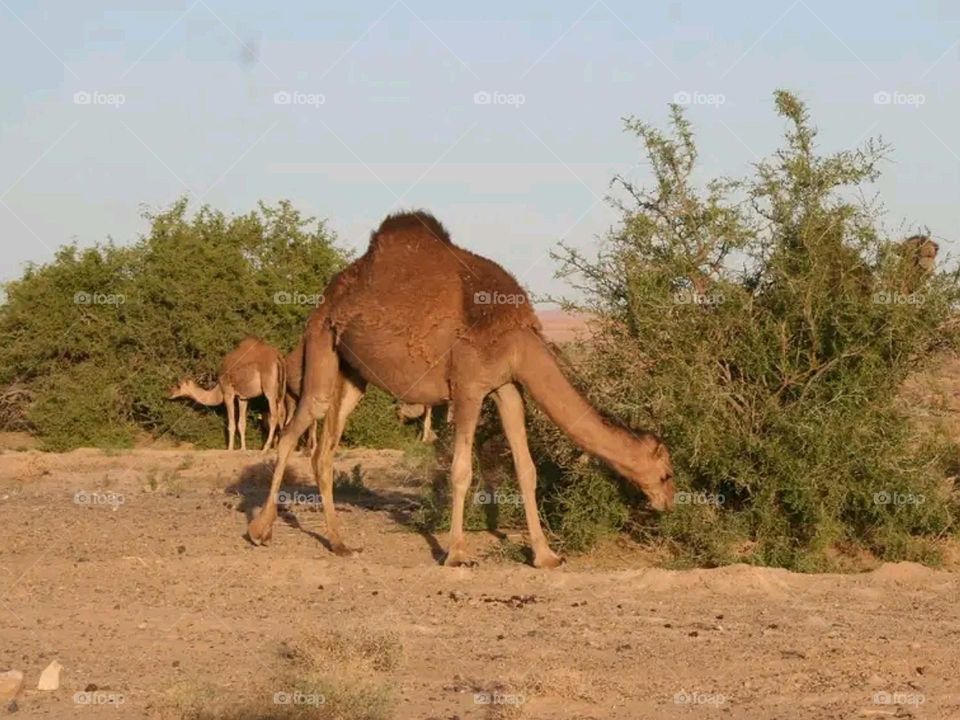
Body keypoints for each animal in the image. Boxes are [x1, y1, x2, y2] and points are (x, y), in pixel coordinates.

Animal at [247, 211, 675, 568]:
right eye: (667, 473)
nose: (669, 503)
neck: (518, 341)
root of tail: (327, 297)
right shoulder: (468, 387)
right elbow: (461, 470)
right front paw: (456, 554)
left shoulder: (506, 387)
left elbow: (526, 469)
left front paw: (545, 556)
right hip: (321, 344)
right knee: (293, 432)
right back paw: (260, 531)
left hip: (352, 374)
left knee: (324, 451)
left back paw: (339, 544)